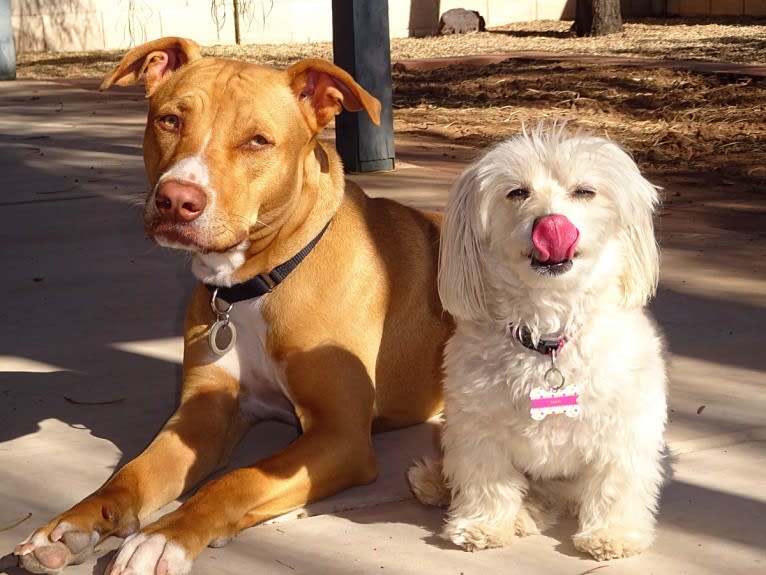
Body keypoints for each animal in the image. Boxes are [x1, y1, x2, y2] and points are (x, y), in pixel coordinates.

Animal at [13, 37, 450, 575]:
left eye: (257, 141)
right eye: (170, 120)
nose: (177, 200)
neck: (256, 285)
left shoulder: (341, 434)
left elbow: (237, 479)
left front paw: (164, 536)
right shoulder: (203, 411)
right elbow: (133, 473)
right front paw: (74, 523)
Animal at [412, 126, 668, 564]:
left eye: (584, 191)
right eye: (517, 192)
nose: (551, 225)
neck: (548, 336)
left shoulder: (625, 428)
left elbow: (615, 484)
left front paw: (613, 534)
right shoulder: (477, 427)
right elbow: (488, 480)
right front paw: (484, 524)